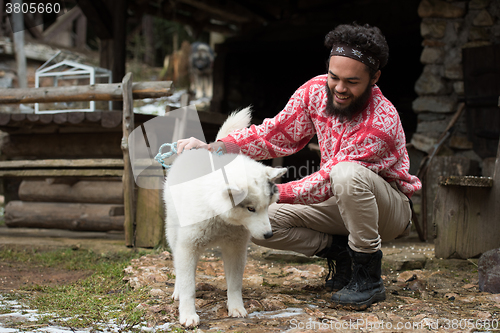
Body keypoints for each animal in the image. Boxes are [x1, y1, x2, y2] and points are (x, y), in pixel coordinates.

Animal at [164, 107, 288, 326]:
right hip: (173, 233)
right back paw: (177, 291)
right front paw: (187, 314)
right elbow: (188, 286)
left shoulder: (236, 249)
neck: (220, 218)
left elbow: (235, 283)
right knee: (178, 266)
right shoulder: (188, 247)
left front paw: (236, 307)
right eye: (250, 209)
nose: (268, 235)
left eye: (267, 206)